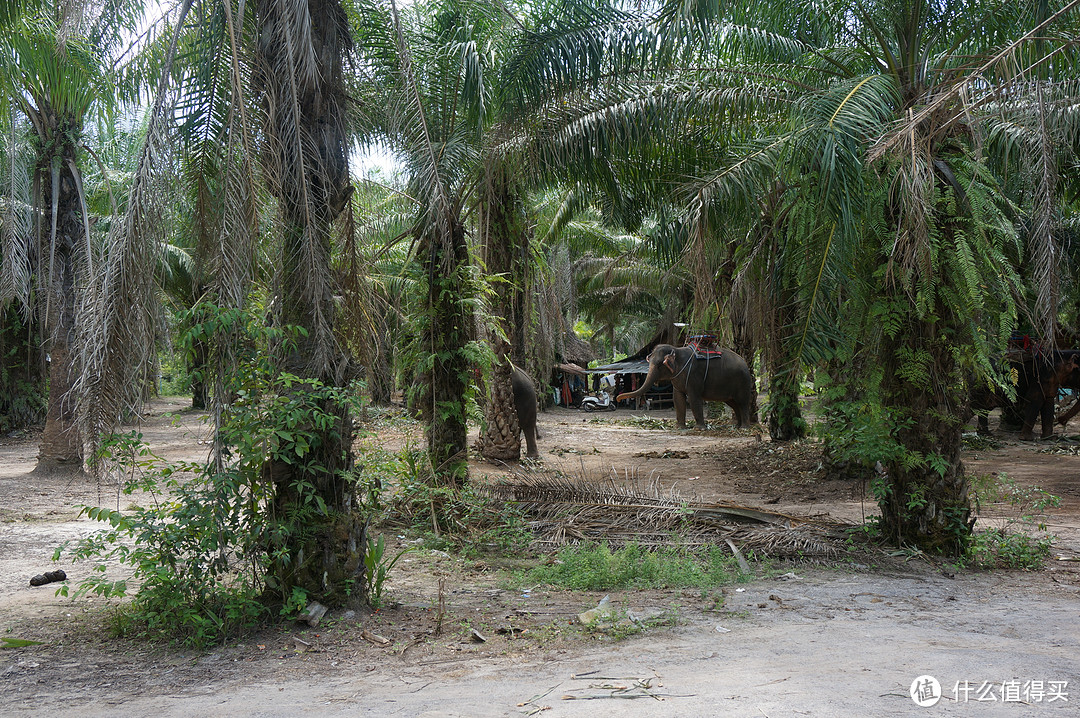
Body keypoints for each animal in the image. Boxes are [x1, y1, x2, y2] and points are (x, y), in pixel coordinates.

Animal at [617, 343, 760, 427]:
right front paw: (680, 428)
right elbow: (677, 398)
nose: (618, 398)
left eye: (659, 365)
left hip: (743, 381)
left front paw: (700, 428)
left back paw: (744, 428)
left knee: (742, 402)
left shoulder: (693, 375)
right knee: (733, 404)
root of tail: (745, 363)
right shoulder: (677, 378)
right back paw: (737, 427)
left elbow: (693, 398)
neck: (676, 349)